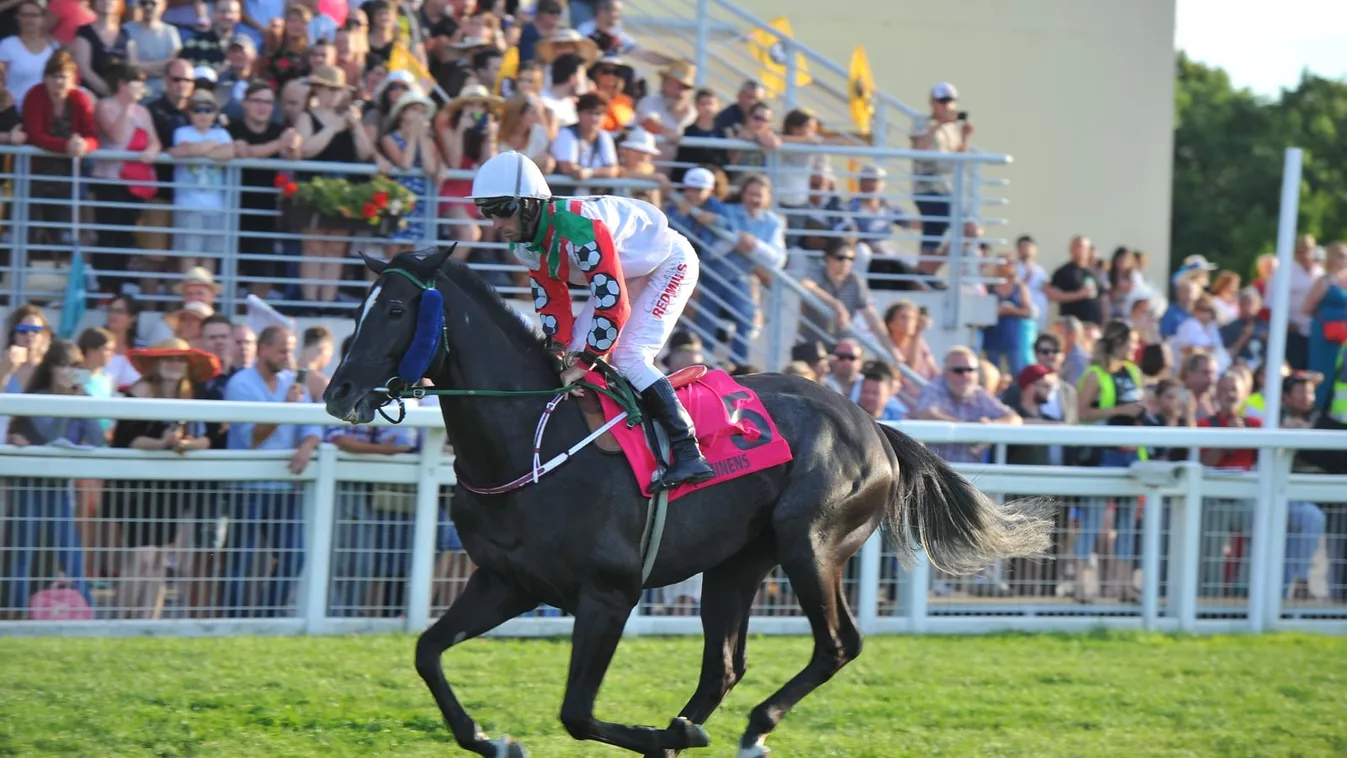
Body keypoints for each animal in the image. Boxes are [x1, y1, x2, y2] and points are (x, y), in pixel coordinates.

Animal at [323, 246, 1050, 753]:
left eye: (394, 311)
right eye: (356, 309)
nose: (338, 393)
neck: (529, 441)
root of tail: (871, 422)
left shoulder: (608, 595)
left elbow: (577, 712)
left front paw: (651, 738)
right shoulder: (506, 582)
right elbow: (426, 651)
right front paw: (488, 739)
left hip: (810, 544)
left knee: (837, 644)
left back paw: (748, 728)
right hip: (735, 563)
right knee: (724, 665)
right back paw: (686, 728)